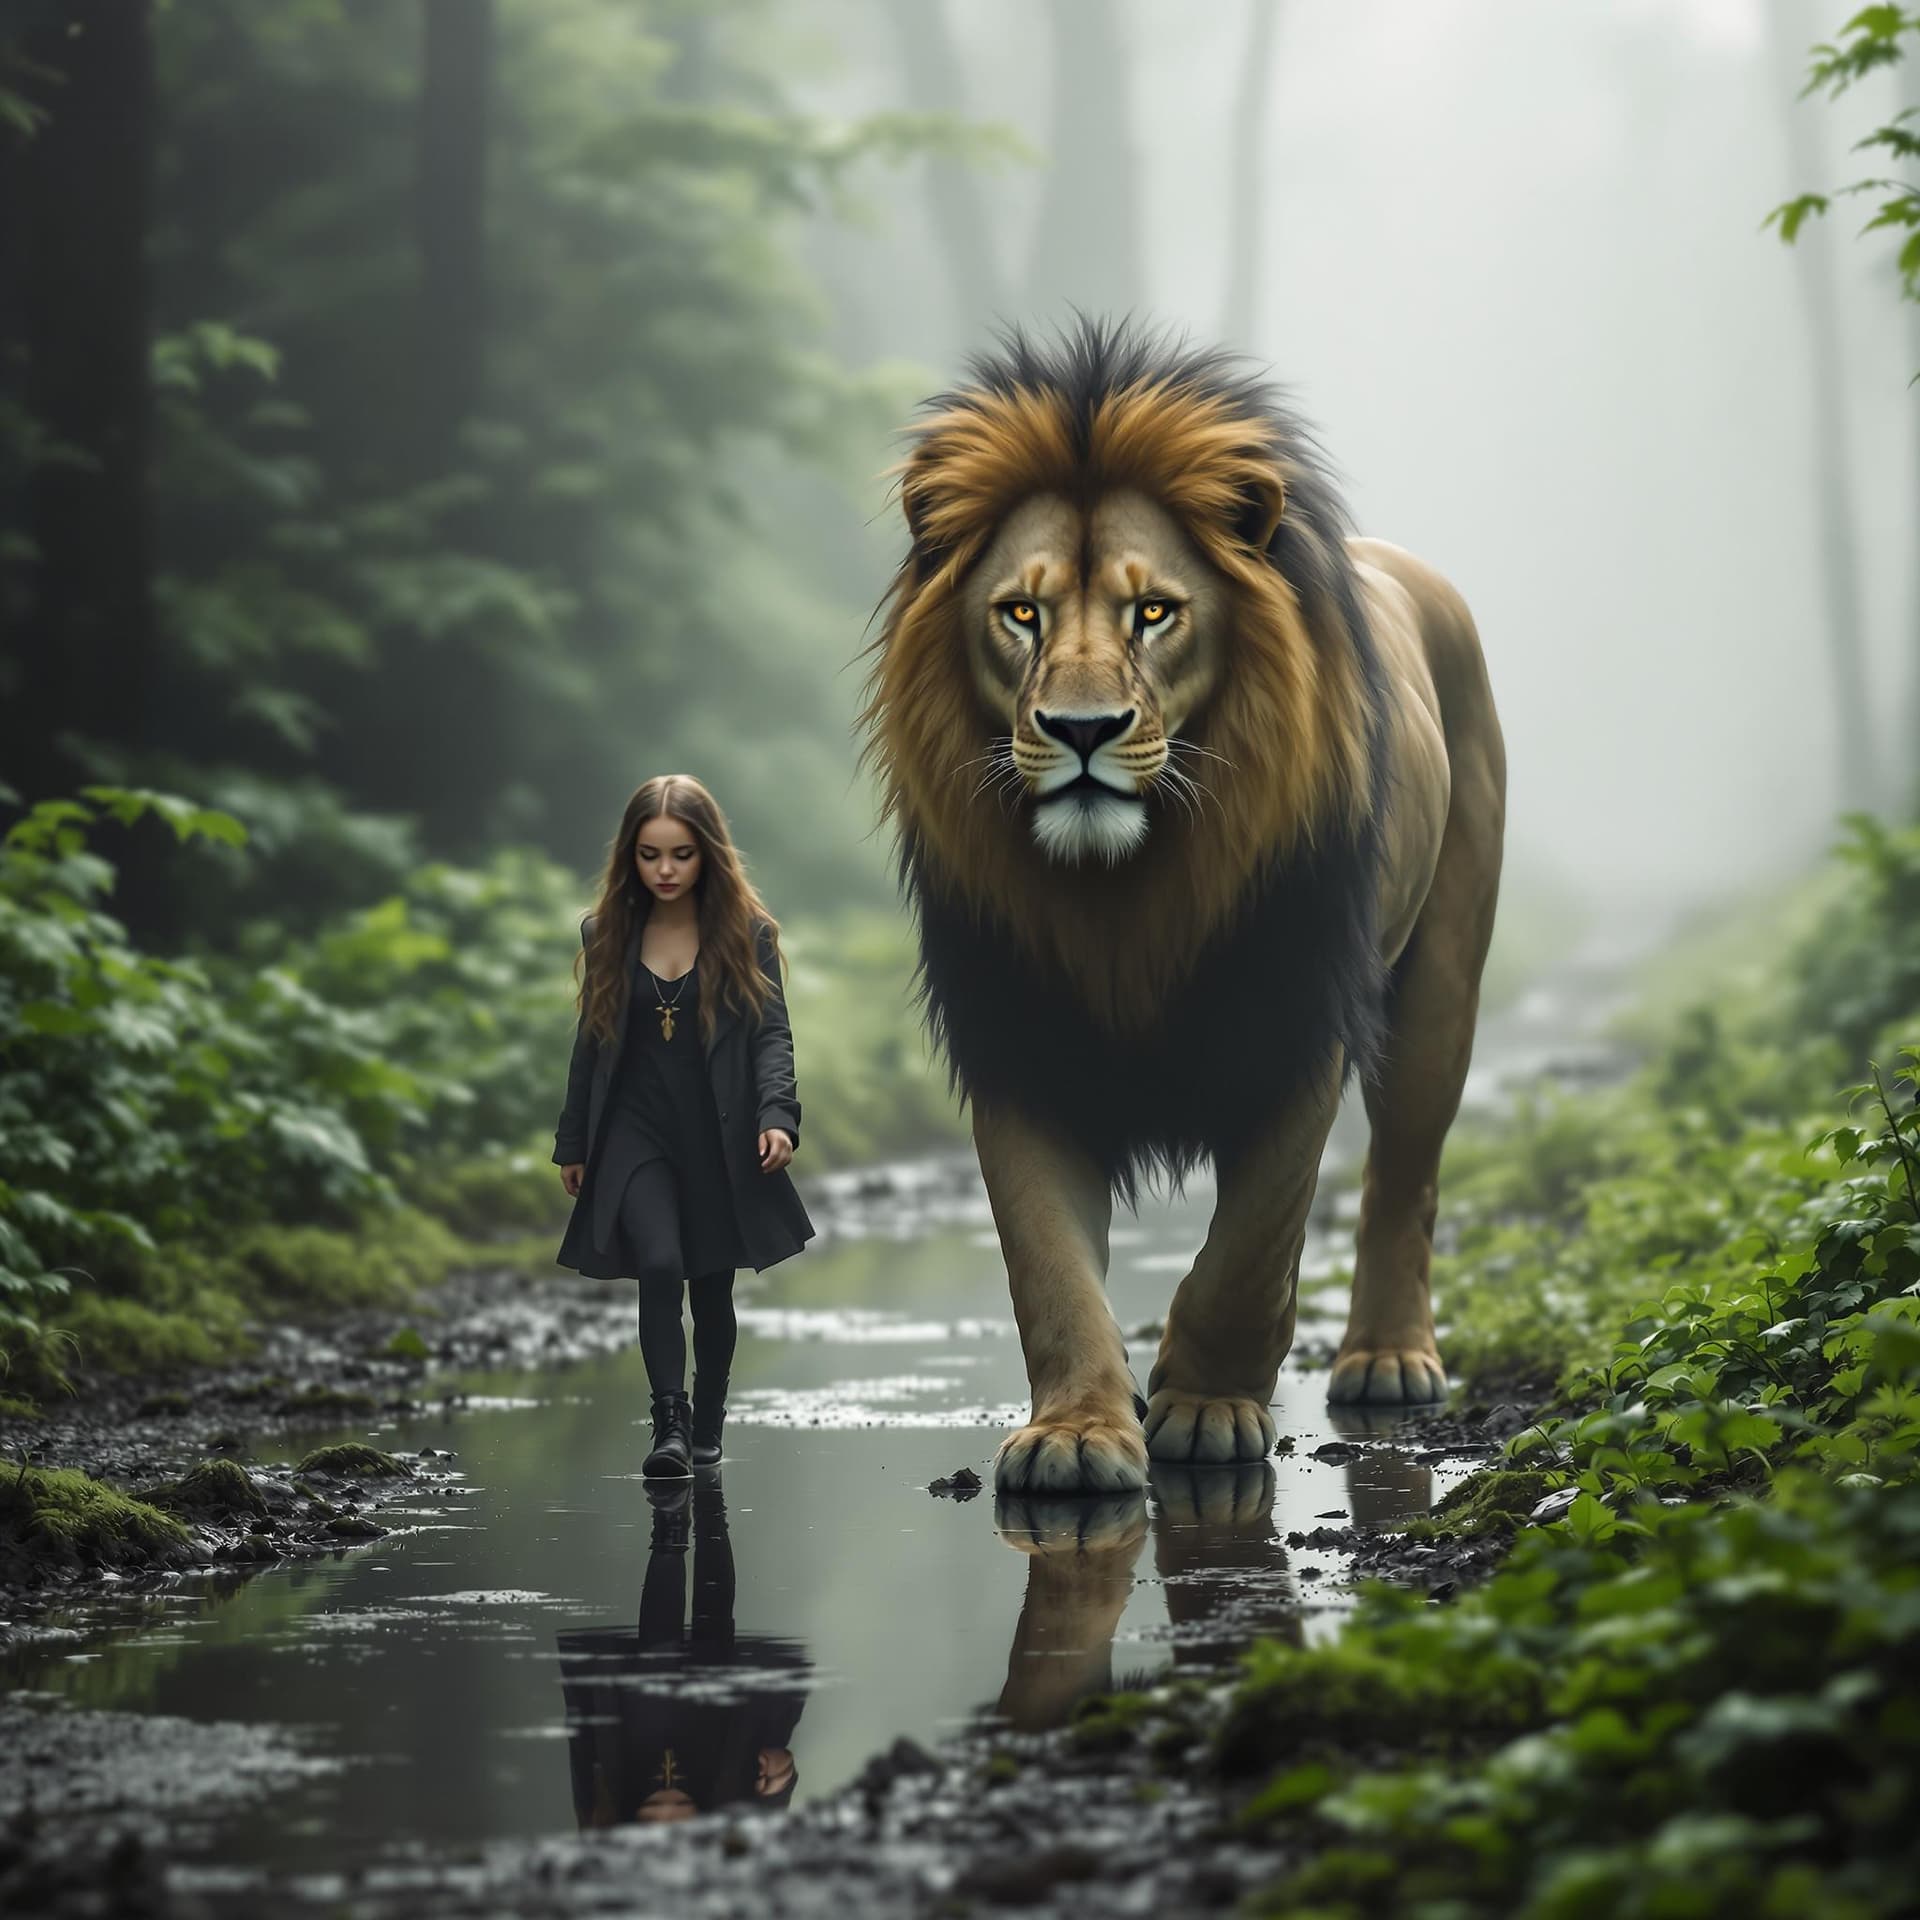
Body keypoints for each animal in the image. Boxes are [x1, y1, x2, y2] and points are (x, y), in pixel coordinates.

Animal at [858, 316, 1506, 1495]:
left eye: (1153, 612)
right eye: (1020, 614)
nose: (1081, 730)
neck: (1127, 889)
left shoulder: (1294, 1025)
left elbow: (1250, 1249)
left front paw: (1203, 1409)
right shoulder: (1020, 1038)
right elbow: (1047, 1267)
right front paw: (1077, 1431)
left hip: (1440, 986)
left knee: (1403, 1181)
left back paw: (1387, 1359)